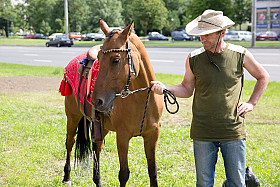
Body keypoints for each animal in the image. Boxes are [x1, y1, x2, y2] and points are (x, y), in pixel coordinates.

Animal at [63, 19, 164, 187]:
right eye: (99, 57)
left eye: (116, 60)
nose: (97, 100)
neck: (141, 99)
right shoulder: (122, 136)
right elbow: (124, 174)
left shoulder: (152, 135)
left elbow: (153, 172)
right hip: (72, 118)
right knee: (69, 143)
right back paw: (66, 176)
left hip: (101, 127)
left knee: (96, 147)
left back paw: (97, 181)